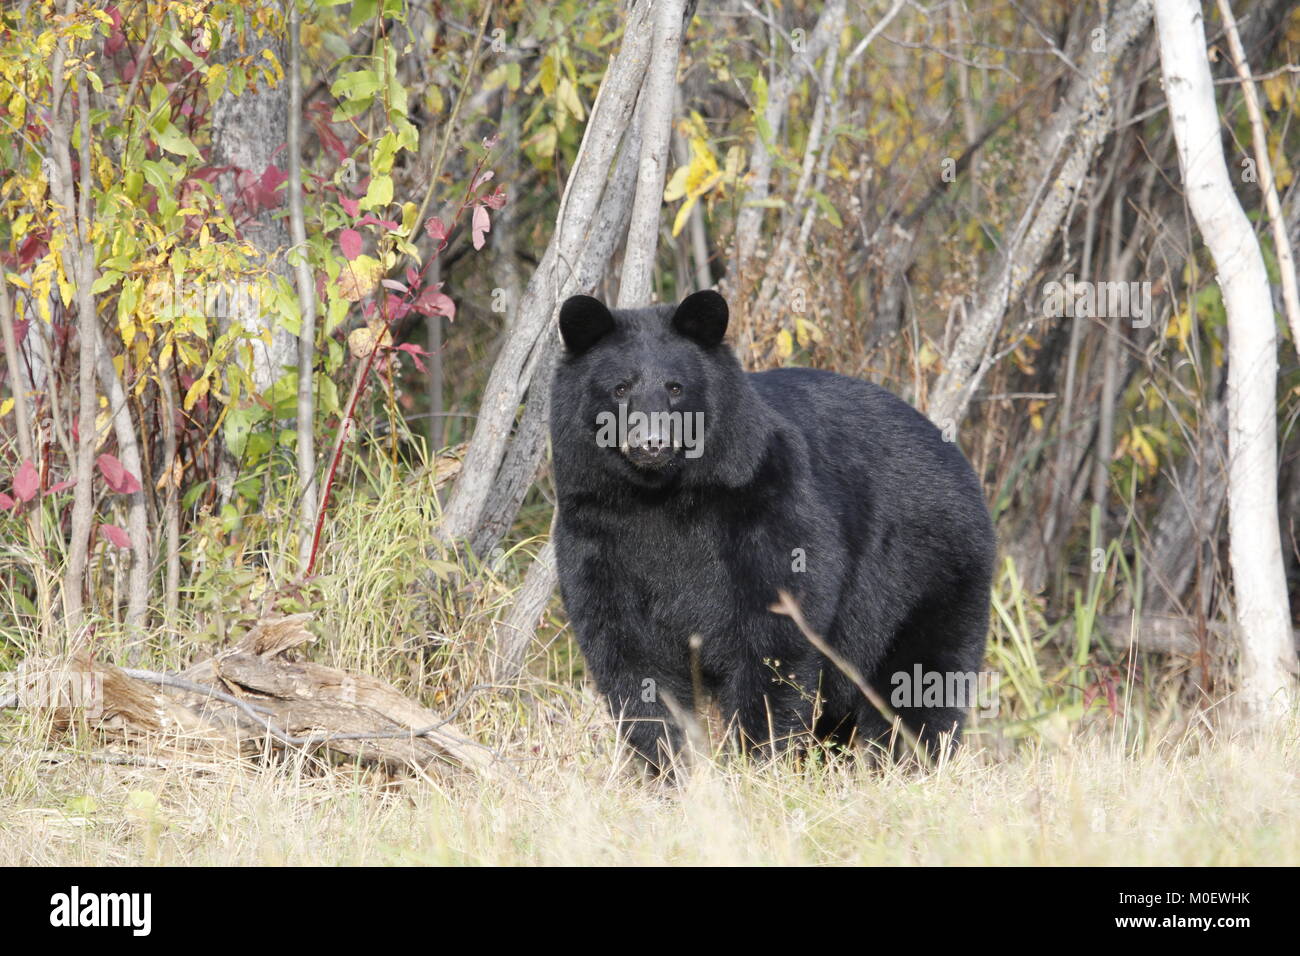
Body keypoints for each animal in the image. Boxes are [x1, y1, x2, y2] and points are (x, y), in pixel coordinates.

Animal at [548, 290, 993, 770]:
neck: (659, 499)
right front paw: (669, 765)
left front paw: (758, 759)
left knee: (921, 681)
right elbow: (629, 653)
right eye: (620, 388)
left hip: (927, 575)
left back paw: (910, 763)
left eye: (675, 387)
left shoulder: (767, 508)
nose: (652, 442)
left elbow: (775, 641)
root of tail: (958, 460)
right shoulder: (597, 534)